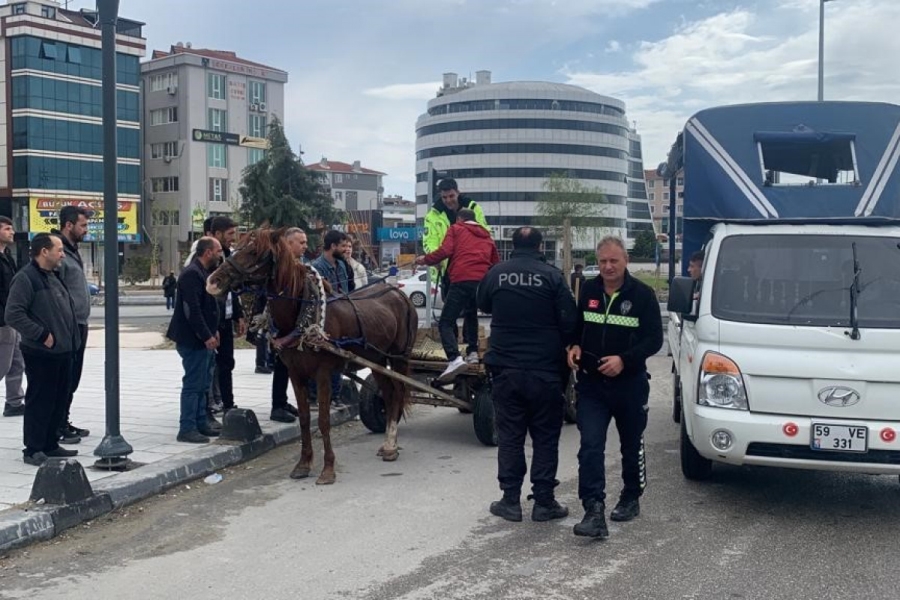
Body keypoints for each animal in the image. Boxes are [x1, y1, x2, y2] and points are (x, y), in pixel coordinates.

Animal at [206, 227, 416, 486]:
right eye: (238, 246)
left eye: (254, 252)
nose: (213, 281)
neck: (302, 315)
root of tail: (399, 293)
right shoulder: (296, 374)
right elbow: (305, 419)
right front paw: (303, 464)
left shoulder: (323, 374)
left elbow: (324, 420)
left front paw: (328, 468)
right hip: (377, 359)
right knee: (388, 393)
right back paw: (387, 441)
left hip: (399, 357)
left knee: (398, 393)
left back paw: (391, 445)